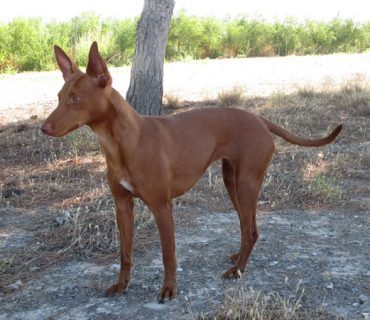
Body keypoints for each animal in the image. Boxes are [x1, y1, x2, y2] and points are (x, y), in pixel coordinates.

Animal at [41, 42, 342, 302]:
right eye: (58, 97)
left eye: (76, 99)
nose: (43, 128)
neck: (125, 142)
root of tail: (259, 119)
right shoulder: (122, 205)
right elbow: (125, 253)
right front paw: (122, 285)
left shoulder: (162, 206)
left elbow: (168, 254)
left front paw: (169, 290)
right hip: (232, 182)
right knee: (250, 228)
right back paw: (238, 259)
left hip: (245, 184)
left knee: (249, 229)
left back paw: (238, 270)